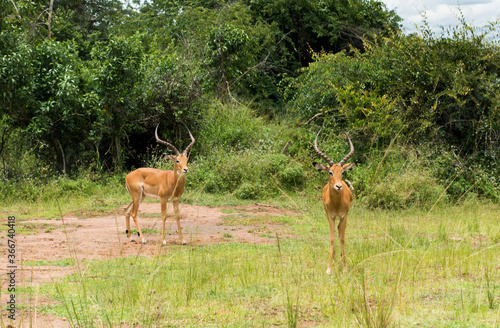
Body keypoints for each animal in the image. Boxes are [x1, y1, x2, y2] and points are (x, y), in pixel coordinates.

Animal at [312, 129, 356, 272]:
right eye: (330, 172)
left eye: (342, 172)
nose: (338, 186)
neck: (336, 204)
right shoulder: (330, 215)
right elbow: (332, 239)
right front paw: (329, 268)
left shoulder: (344, 216)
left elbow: (342, 238)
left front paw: (345, 268)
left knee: (340, 231)